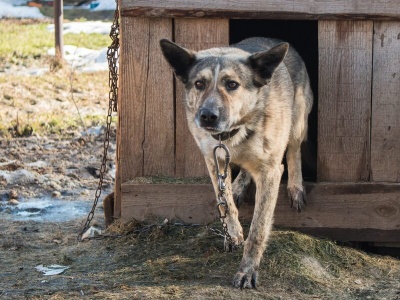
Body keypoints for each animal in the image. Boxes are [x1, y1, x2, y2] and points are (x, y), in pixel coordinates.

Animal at [159, 37, 312, 288]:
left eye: (232, 84)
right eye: (199, 83)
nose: (207, 116)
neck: (231, 133)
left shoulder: (270, 172)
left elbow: (258, 229)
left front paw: (247, 271)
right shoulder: (214, 161)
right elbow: (226, 203)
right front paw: (233, 234)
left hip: (298, 121)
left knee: (294, 150)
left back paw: (295, 187)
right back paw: (240, 185)